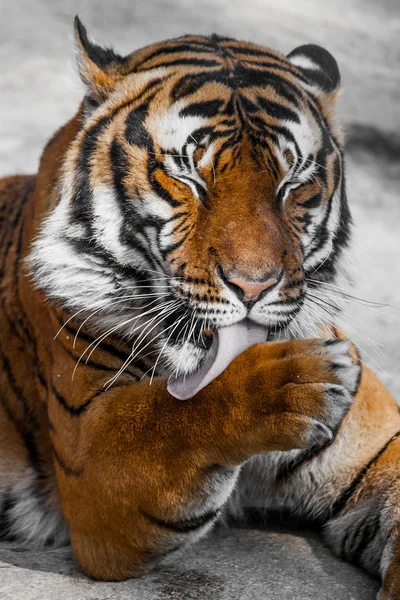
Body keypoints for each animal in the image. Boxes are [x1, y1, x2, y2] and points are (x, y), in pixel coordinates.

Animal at [0, 16, 400, 596]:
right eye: (189, 178)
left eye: (293, 184)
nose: (253, 287)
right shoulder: (91, 461)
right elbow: (170, 414)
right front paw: (297, 383)